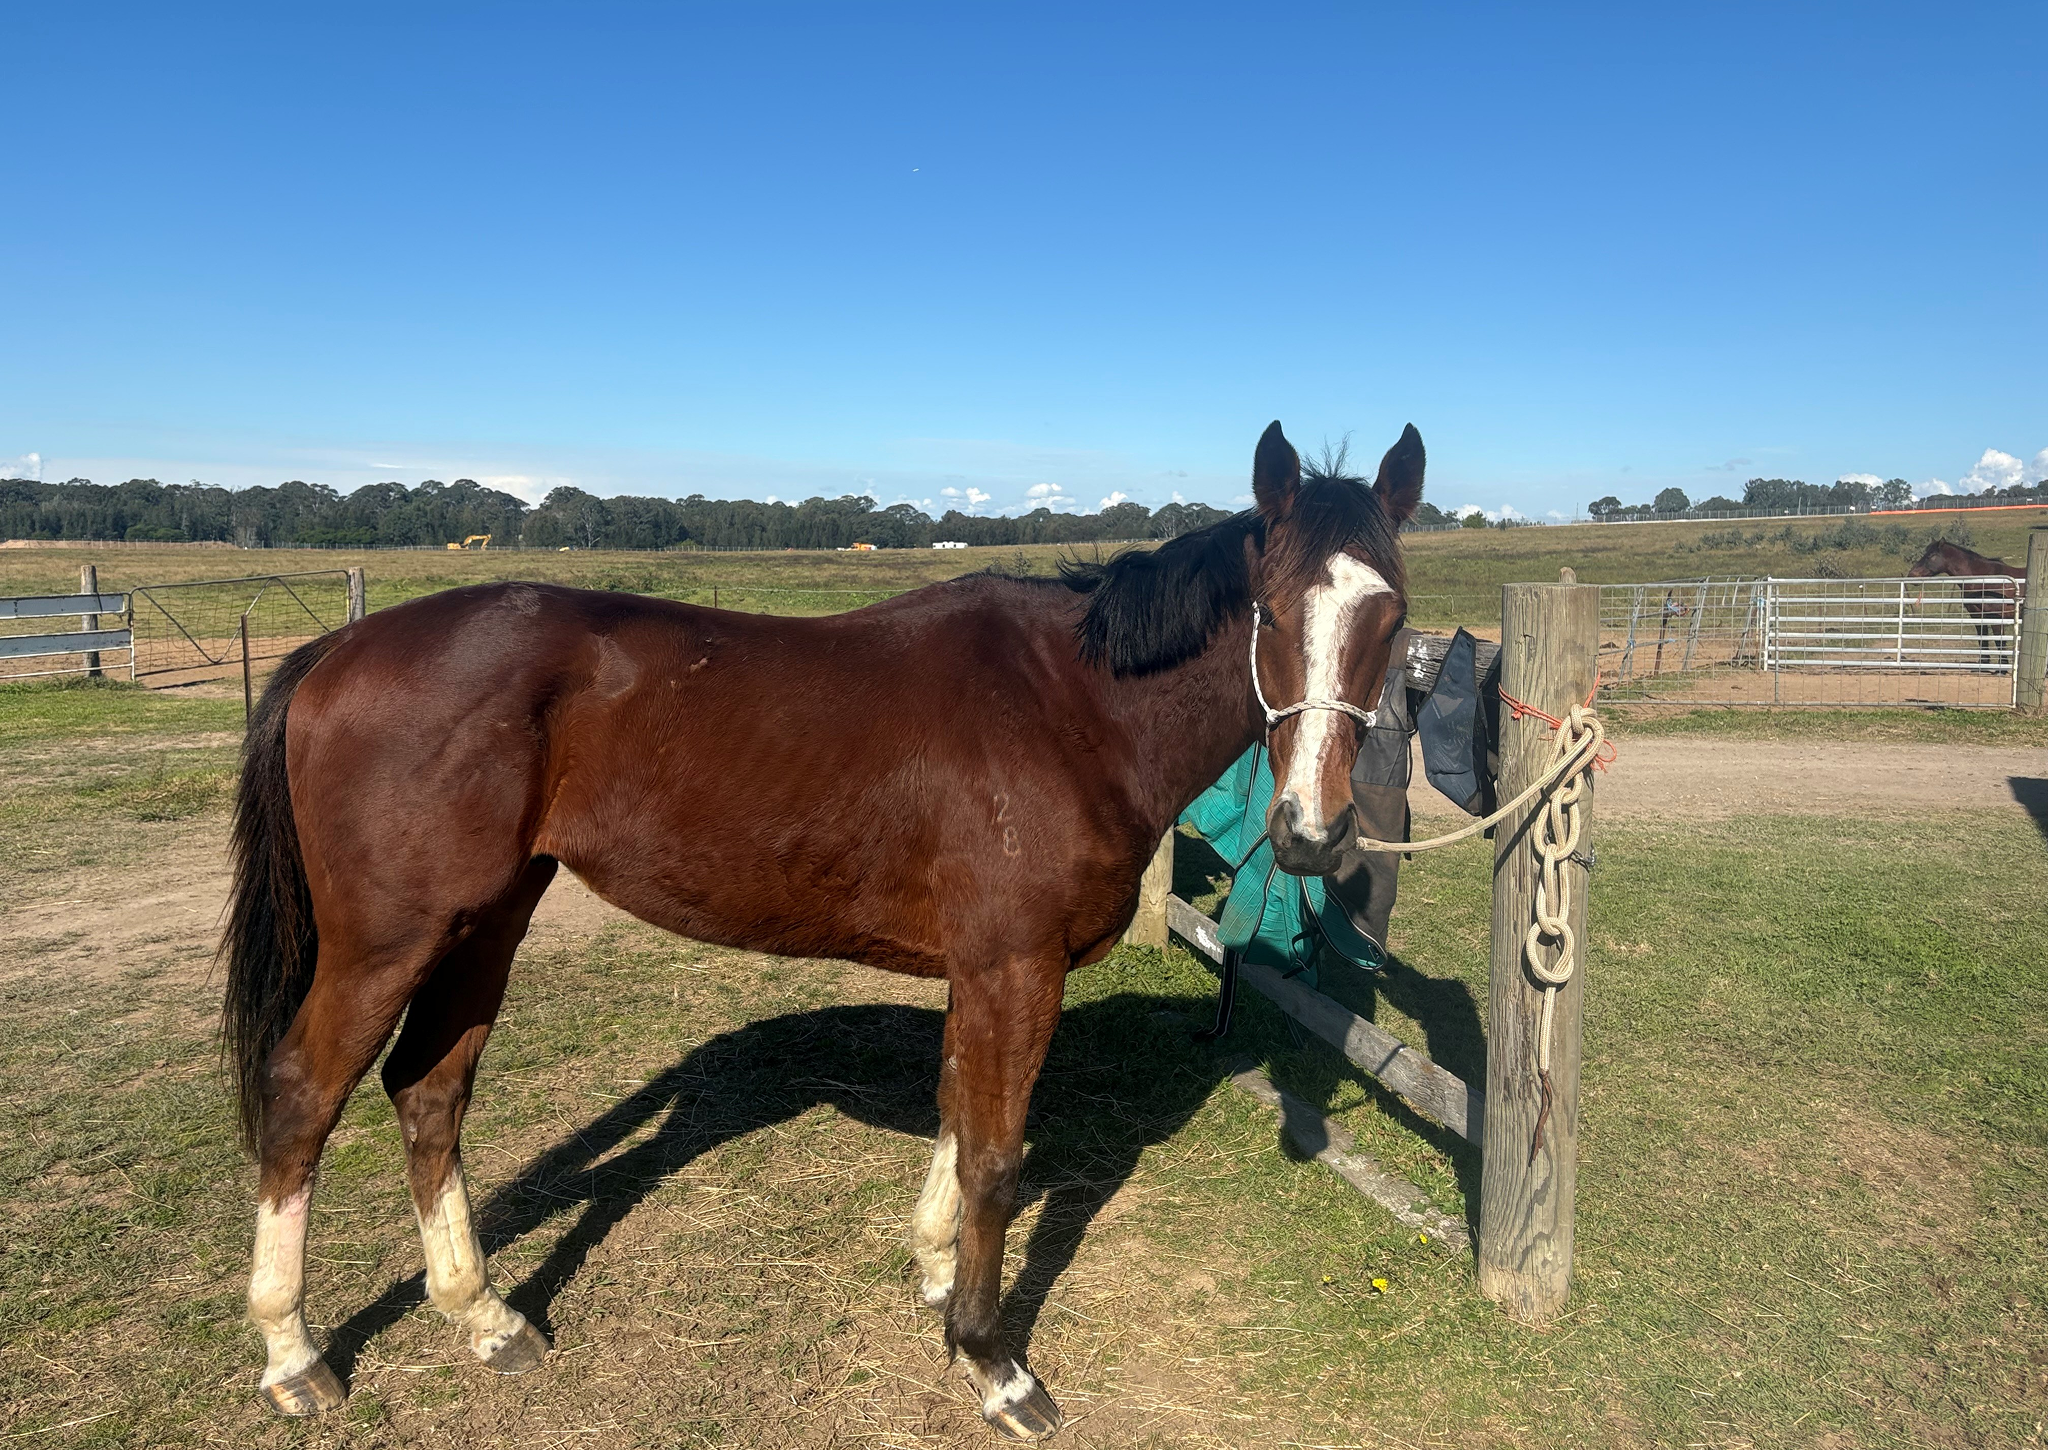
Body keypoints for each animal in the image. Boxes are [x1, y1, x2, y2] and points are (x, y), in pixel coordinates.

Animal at [220, 419, 1424, 1440]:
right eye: (1271, 611)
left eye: (1393, 618)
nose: (1311, 834)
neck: (1069, 708)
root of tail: (341, 651)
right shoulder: (1016, 968)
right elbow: (997, 1154)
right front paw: (992, 1360)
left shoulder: (982, 972)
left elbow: (957, 1115)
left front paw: (936, 1273)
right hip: (389, 943)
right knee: (303, 1096)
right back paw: (293, 1357)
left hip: (486, 924)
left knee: (429, 1092)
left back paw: (484, 1317)